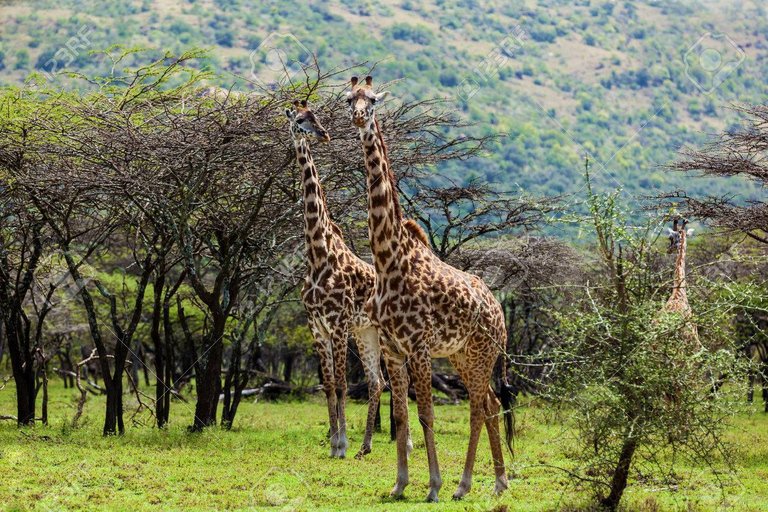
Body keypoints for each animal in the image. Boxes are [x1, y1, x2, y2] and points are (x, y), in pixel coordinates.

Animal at [284, 101, 408, 460]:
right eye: (300, 120)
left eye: (316, 117)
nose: (324, 134)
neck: (318, 253)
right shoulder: (317, 325)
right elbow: (328, 384)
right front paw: (335, 444)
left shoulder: (338, 323)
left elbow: (340, 384)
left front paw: (340, 444)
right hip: (366, 333)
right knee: (378, 382)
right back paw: (365, 446)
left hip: (385, 334)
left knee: (400, 381)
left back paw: (403, 442)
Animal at [344, 75, 512, 500]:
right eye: (349, 99)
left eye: (373, 100)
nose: (359, 118)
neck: (388, 259)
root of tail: (500, 312)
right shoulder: (392, 348)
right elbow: (403, 416)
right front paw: (399, 484)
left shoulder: (418, 347)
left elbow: (426, 415)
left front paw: (433, 485)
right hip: (462, 356)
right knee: (488, 403)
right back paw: (497, 481)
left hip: (482, 353)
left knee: (477, 407)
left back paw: (463, 486)